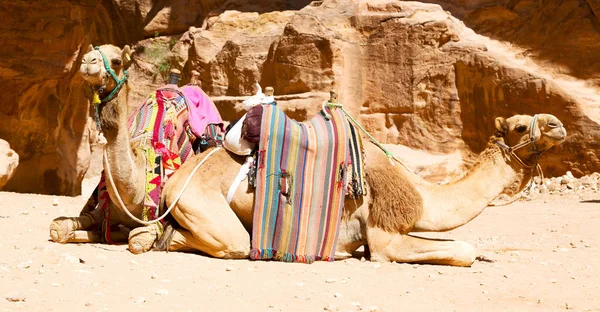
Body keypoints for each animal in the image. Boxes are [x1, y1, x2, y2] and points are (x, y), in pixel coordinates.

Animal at [132, 108, 568, 266]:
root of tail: (177, 178)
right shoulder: (384, 236)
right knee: (219, 242)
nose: (558, 124)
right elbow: (463, 250)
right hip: (200, 204)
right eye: (519, 126)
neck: (421, 193)